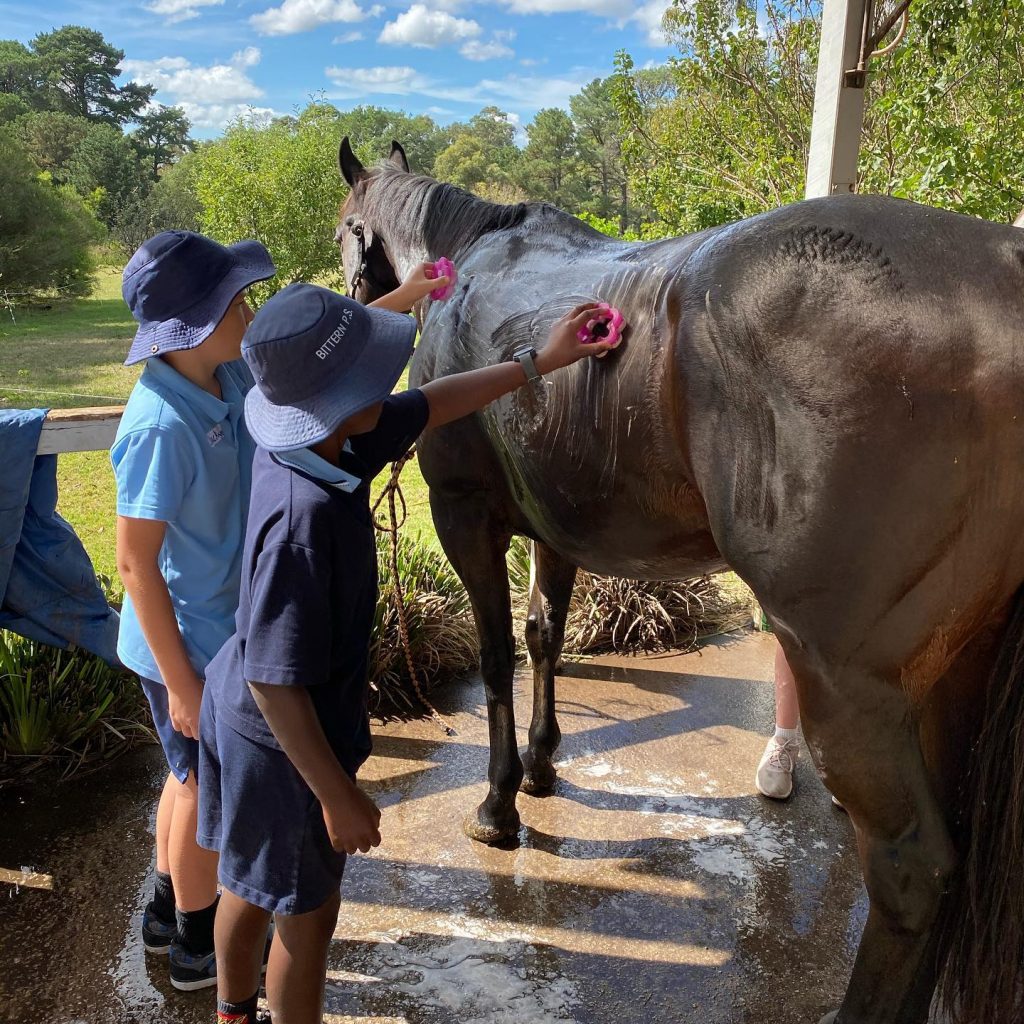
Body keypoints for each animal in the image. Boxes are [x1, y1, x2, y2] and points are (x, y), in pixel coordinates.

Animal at [337, 138, 1024, 1024]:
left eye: (344, 228)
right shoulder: (556, 530)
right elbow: (543, 637)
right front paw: (544, 768)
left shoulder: (465, 519)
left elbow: (495, 660)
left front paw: (498, 806)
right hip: (954, 676)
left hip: (854, 686)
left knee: (912, 871)